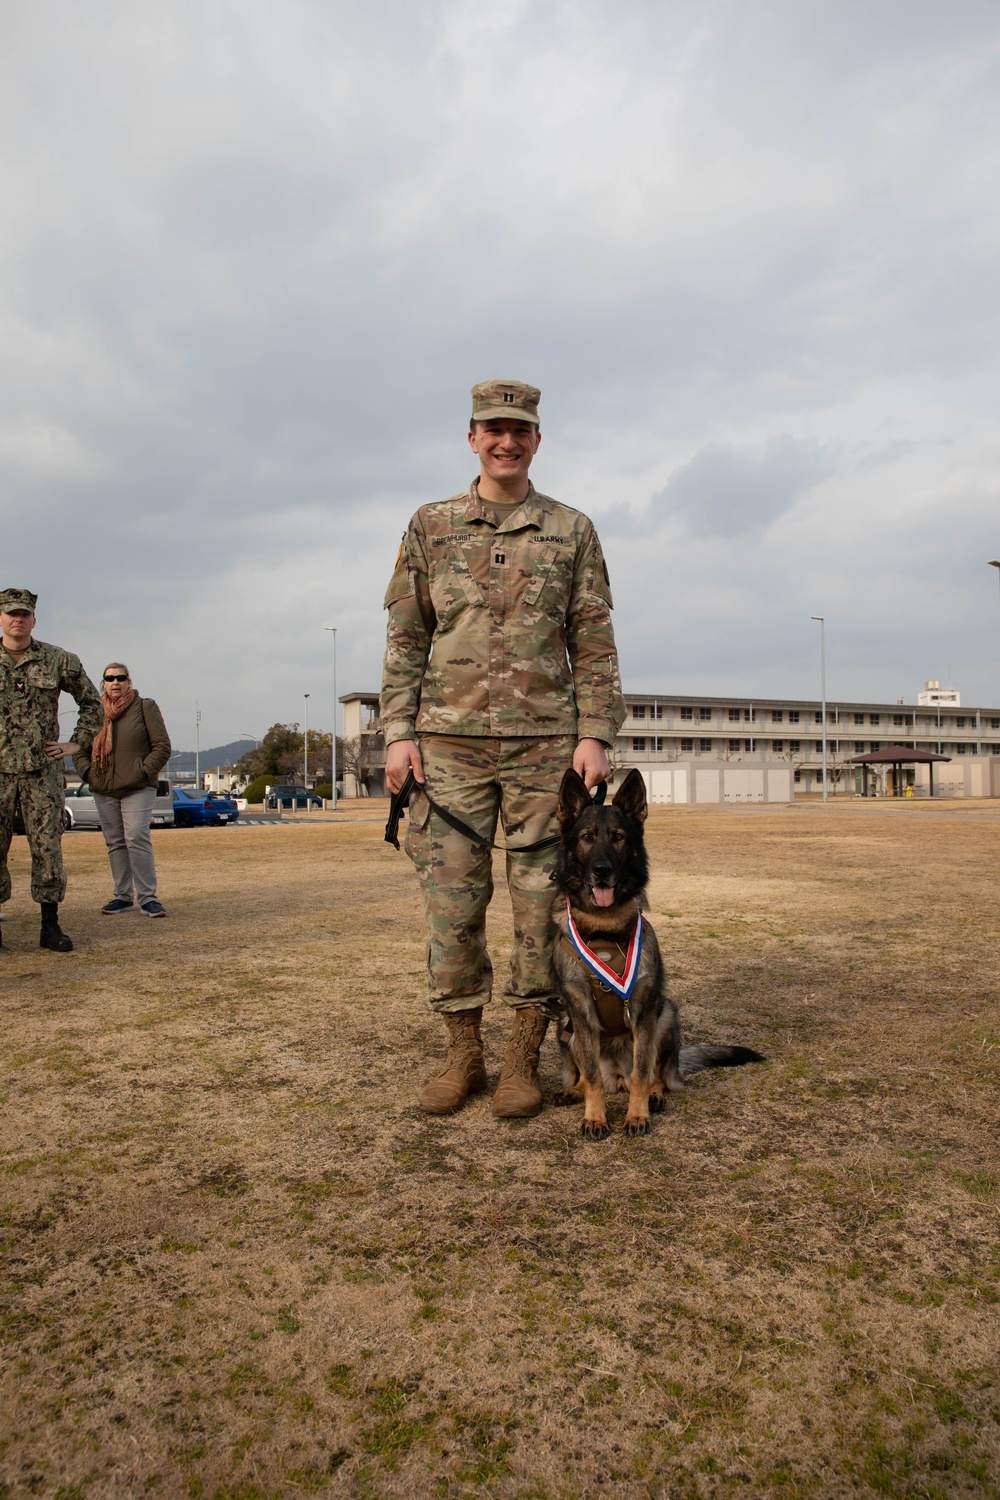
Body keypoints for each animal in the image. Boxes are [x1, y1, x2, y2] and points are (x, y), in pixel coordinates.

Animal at [551, 774, 761, 1134]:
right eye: (587, 838)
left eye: (618, 838)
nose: (602, 869)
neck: (605, 932)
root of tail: (616, 1078)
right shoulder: (579, 1011)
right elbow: (590, 1075)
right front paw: (595, 1117)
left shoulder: (644, 1009)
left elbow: (642, 1072)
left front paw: (637, 1115)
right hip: (567, 1026)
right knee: (589, 1075)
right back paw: (573, 1091)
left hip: (666, 1017)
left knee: (656, 1074)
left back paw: (655, 1095)